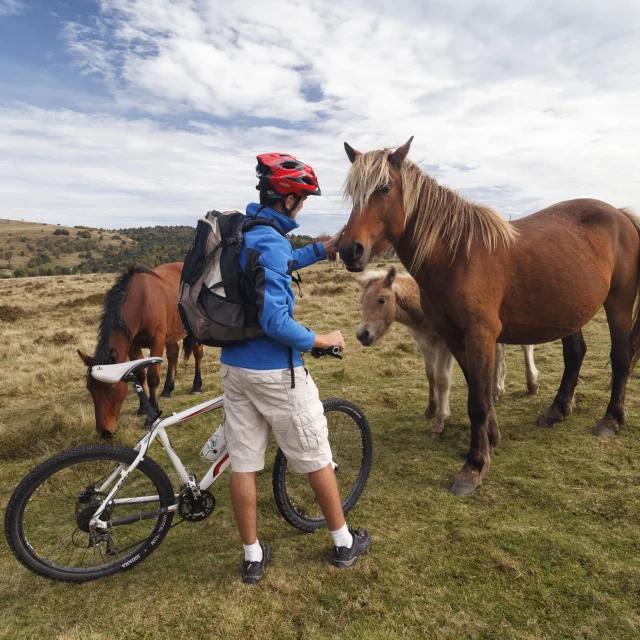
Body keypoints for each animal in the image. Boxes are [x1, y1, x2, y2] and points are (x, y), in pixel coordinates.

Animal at [77, 262, 204, 438]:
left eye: (111, 387)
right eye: (90, 388)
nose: (104, 432)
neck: (141, 302)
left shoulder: (157, 341)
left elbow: (152, 378)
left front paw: (152, 414)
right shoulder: (133, 345)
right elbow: (140, 374)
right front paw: (144, 407)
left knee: (198, 354)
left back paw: (197, 386)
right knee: (173, 355)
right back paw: (167, 388)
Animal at [352, 266, 536, 440]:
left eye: (381, 299)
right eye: (361, 301)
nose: (362, 334)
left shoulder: (443, 345)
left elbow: (442, 379)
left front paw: (439, 423)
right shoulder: (423, 345)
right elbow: (430, 375)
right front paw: (431, 409)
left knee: (525, 347)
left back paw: (531, 384)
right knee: (499, 354)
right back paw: (496, 391)